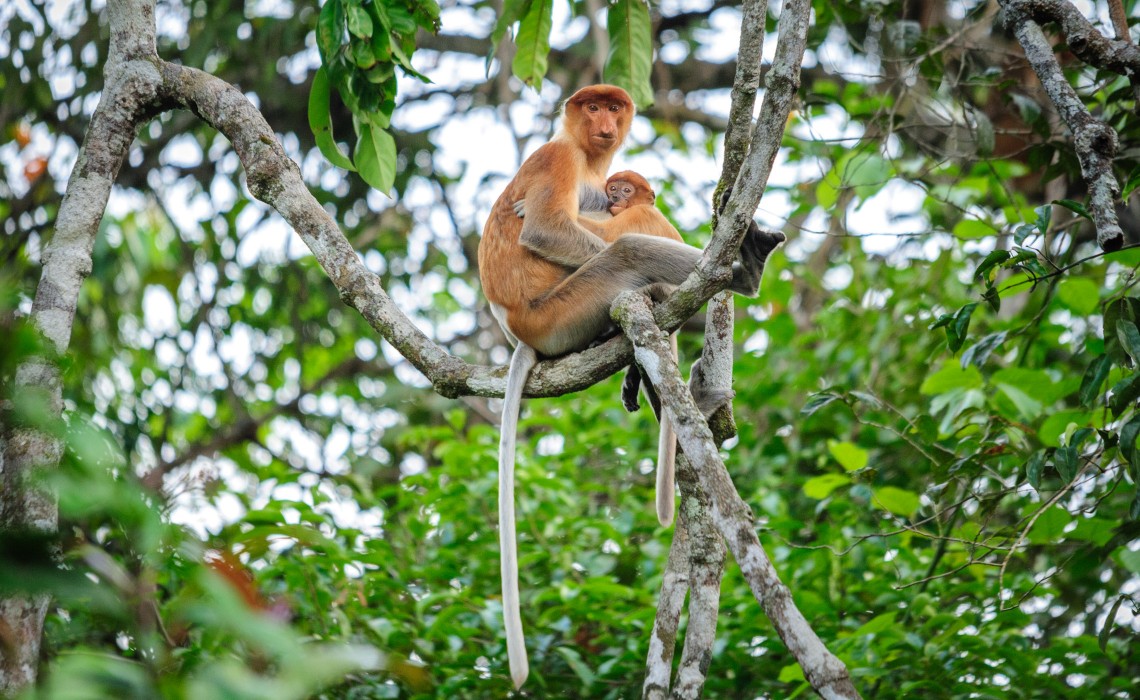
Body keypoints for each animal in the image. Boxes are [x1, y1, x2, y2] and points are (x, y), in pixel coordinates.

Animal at [478, 84, 784, 689]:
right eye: (592, 106)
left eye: (613, 107)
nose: (605, 123)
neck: (585, 155)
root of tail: (519, 330)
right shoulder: (558, 158)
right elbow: (544, 229)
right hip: (562, 310)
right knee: (626, 253)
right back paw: (742, 274)